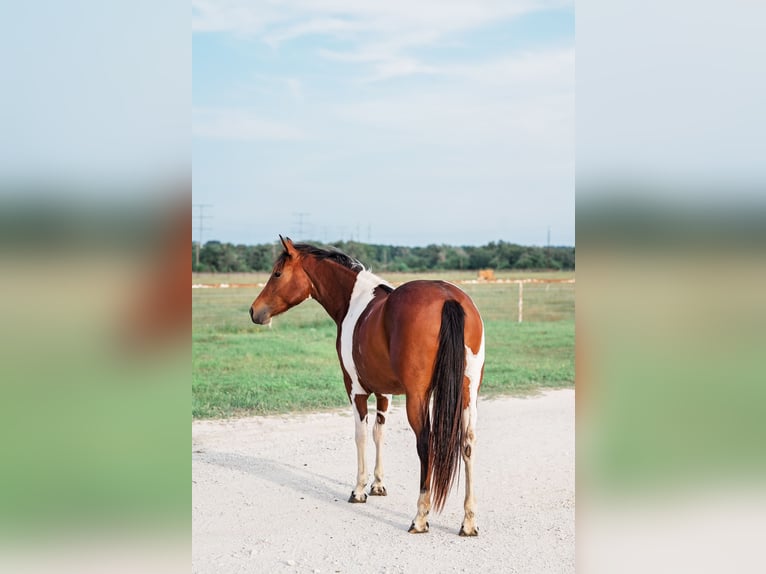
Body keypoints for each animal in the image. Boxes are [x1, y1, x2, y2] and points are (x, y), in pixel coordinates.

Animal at [249, 236, 485, 536]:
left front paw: (359, 489)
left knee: (426, 444)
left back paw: (420, 517)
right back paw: (469, 521)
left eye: (277, 273)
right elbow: (378, 433)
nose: (255, 311)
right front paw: (378, 485)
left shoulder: (355, 389)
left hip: (418, 397)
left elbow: (360, 435)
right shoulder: (385, 393)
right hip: (468, 392)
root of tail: (449, 299)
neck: (354, 301)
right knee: (468, 443)